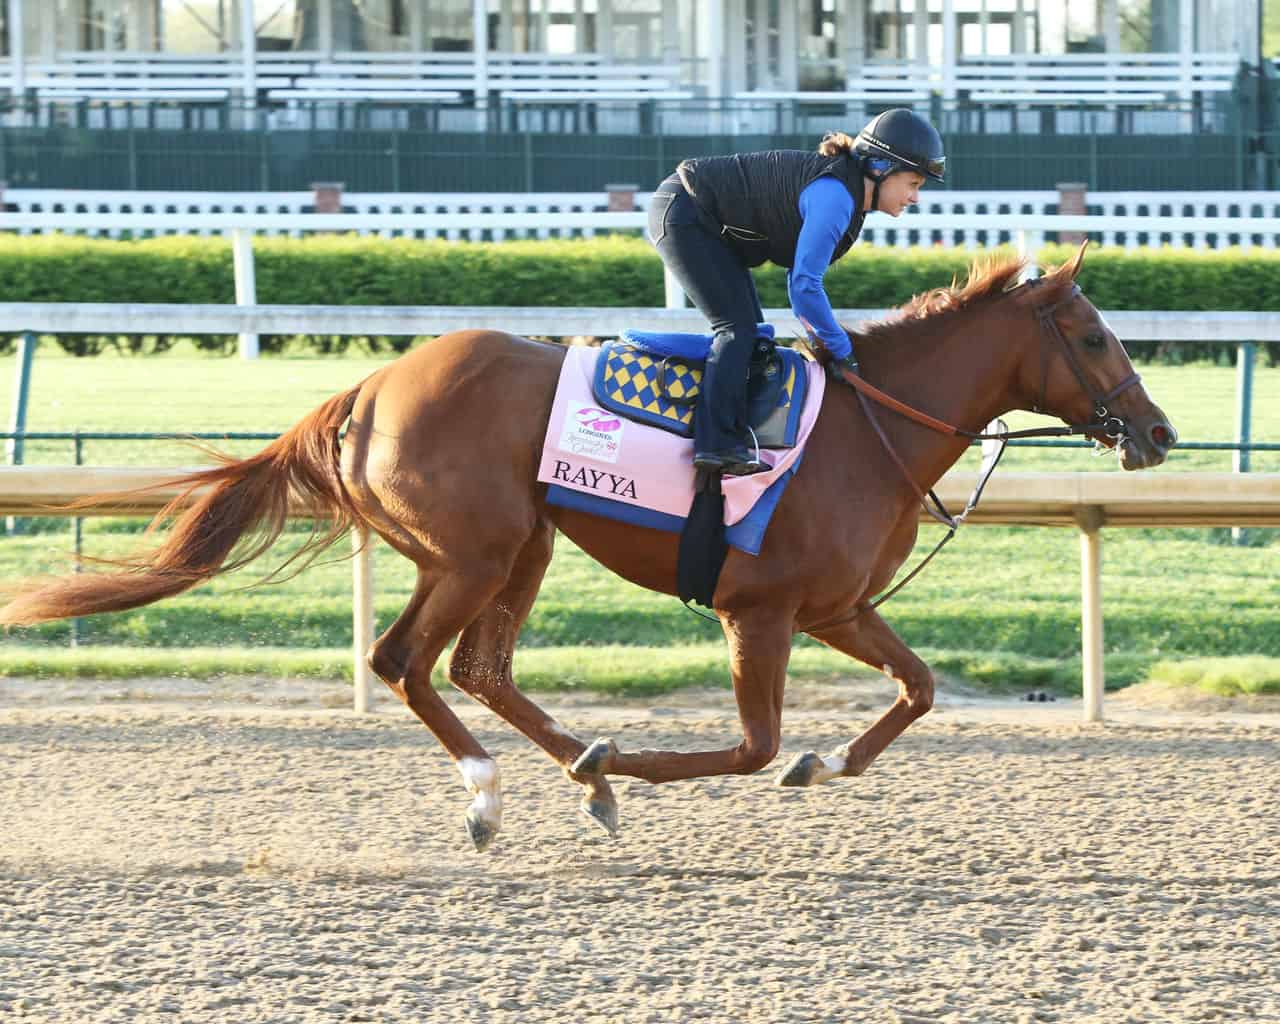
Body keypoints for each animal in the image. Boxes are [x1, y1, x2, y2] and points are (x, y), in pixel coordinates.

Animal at [2, 245, 1177, 849]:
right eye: (1090, 334)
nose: (1159, 432)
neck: (866, 426)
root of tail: (370, 386)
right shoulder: (760, 612)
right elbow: (749, 745)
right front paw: (640, 762)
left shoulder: (838, 608)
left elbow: (918, 689)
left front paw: (824, 761)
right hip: (475, 554)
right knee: (406, 662)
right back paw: (504, 787)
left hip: (516, 546)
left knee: (476, 667)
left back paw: (574, 768)